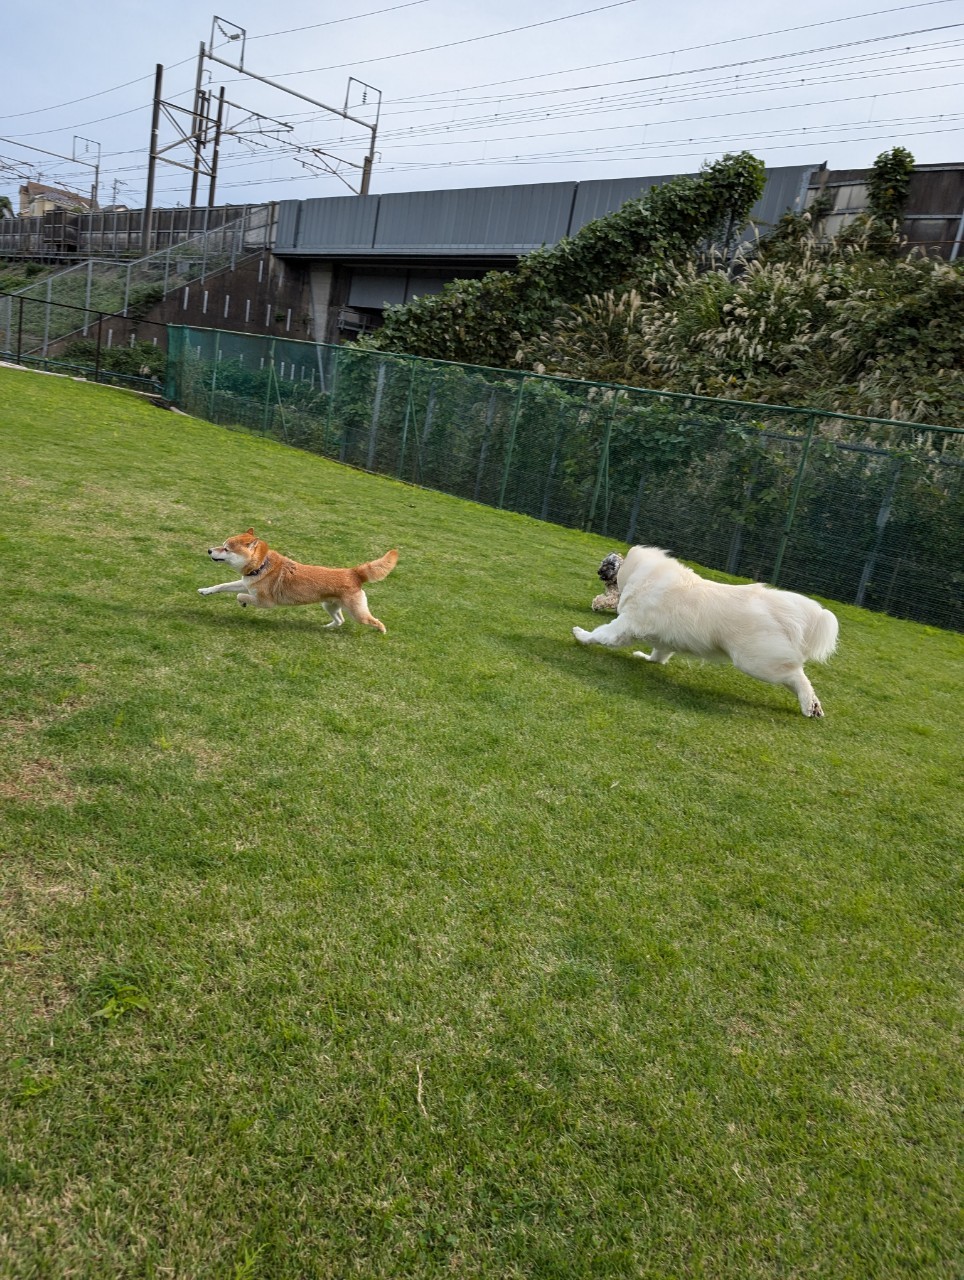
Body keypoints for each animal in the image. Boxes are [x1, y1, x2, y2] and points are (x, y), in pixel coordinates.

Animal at [199, 528, 398, 633]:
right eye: (222, 545)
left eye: (226, 549)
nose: (209, 550)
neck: (261, 566)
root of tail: (353, 573)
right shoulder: (246, 584)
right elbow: (223, 586)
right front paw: (205, 591)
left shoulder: (265, 602)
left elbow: (239, 596)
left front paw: (242, 603)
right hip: (329, 605)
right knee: (339, 620)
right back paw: (326, 628)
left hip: (357, 613)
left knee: (373, 620)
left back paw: (382, 631)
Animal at [573, 546, 839, 716]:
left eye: (610, 567)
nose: (600, 574)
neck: (646, 575)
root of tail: (777, 607)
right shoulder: (664, 640)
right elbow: (658, 655)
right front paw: (645, 657)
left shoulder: (624, 626)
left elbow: (600, 634)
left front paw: (580, 634)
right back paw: (813, 707)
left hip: (756, 663)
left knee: (797, 676)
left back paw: (809, 705)